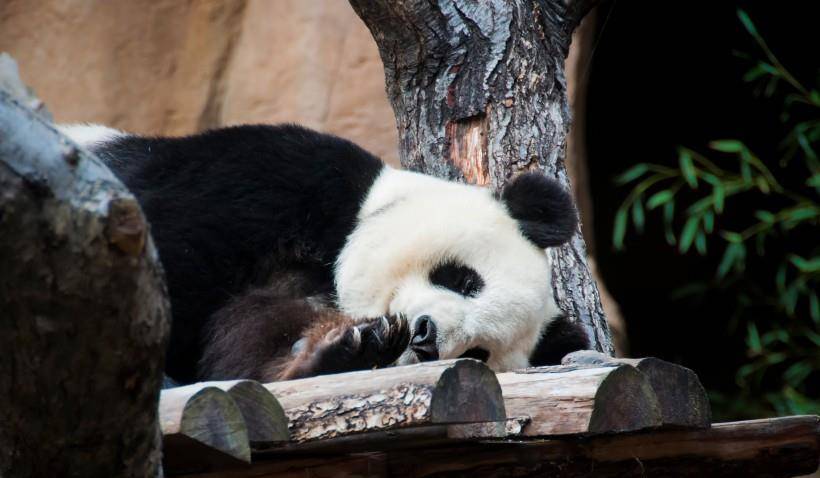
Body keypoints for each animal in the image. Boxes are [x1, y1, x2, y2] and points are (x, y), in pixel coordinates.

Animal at [59, 122, 588, 384]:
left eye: (479, 352)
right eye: (463, 279)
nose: (425, 337)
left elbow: (245, 352)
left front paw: (346, 349)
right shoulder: (278, 179)